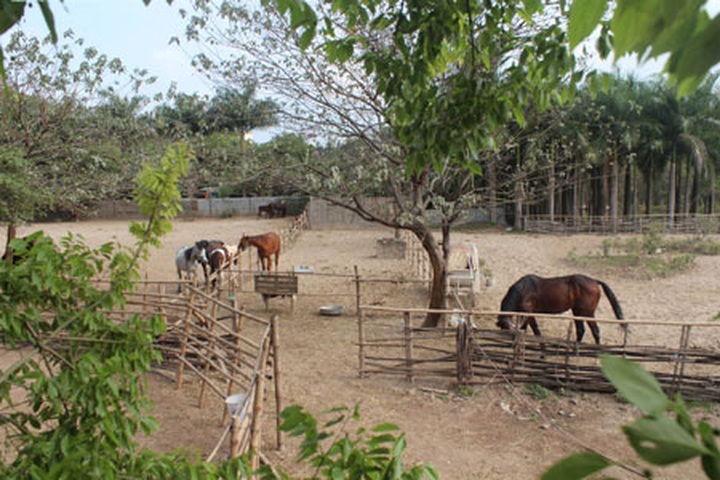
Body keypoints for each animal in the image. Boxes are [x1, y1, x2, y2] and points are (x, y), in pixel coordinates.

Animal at [496, 274, 625, 344]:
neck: (523, 290)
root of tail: (594, 281)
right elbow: (526, 329)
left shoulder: (529, 314)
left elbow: (535, 331)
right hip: (577, 312)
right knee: (581, 330)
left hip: (587, 313)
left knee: (596, 331)